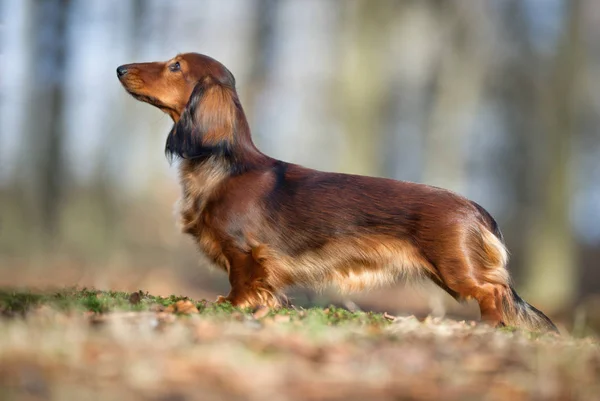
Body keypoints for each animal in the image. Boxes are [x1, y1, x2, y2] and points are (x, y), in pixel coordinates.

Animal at [117, 51, 556, 330]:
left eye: (175, 65)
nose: (120, 68)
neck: (223, 168)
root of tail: (476, 208)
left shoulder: (243, 250)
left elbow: (241, 283)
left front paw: (234, 307)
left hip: (457, 268)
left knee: (495, 292)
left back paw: (492, 327)